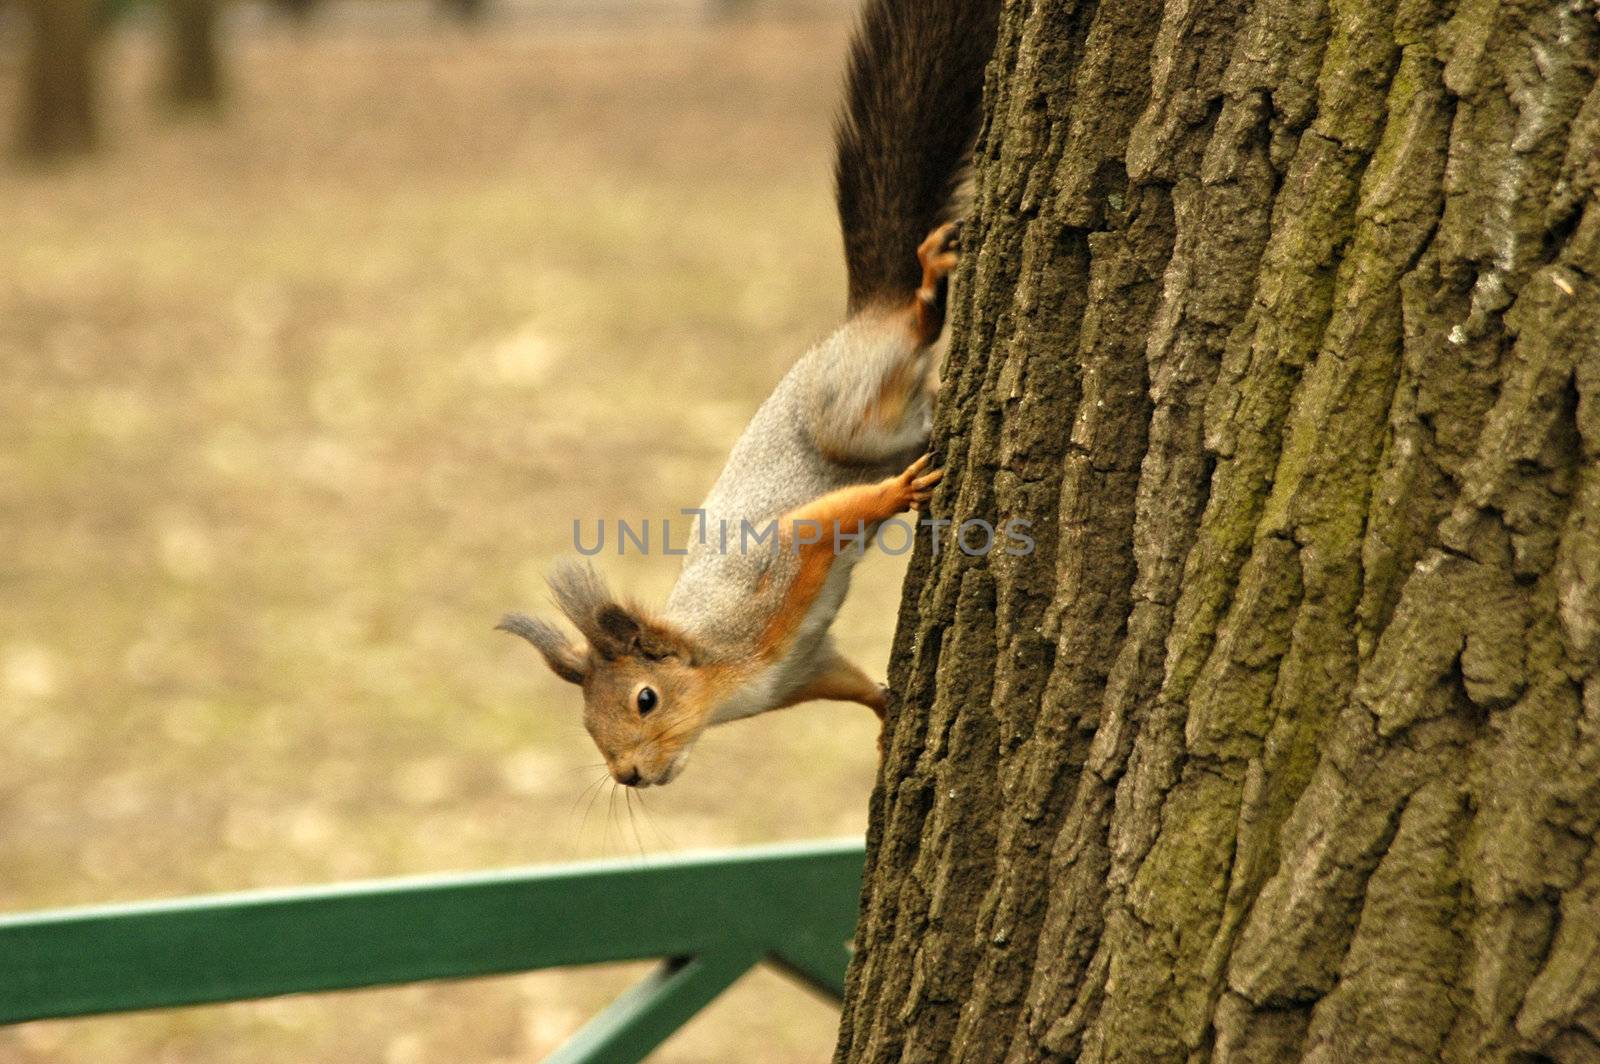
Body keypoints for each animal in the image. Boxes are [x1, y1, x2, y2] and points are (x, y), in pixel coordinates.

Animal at [499, 0, 998, 784]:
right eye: (587, 727)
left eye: (644, 699)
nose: (629, 776)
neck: (722, 674)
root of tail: (858, 321)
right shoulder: (804, 670)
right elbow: (853, 685)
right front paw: (886, 720)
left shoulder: (770, 579)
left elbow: (821, 521)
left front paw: (897, 496)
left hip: (845, 405)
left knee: (903, 345)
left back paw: (924, 292)